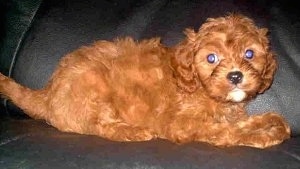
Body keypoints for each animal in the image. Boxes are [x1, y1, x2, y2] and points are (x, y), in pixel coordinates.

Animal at [0, 14, 290, 148]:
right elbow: (227, 130)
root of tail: (47, 93)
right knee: (99, 126)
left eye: (249, 54)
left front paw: (272, 121)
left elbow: (242, 121)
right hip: (94, 87)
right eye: (211, 58)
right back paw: (134, 131)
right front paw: (263, 135)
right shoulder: (182, 123)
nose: (235, 76)